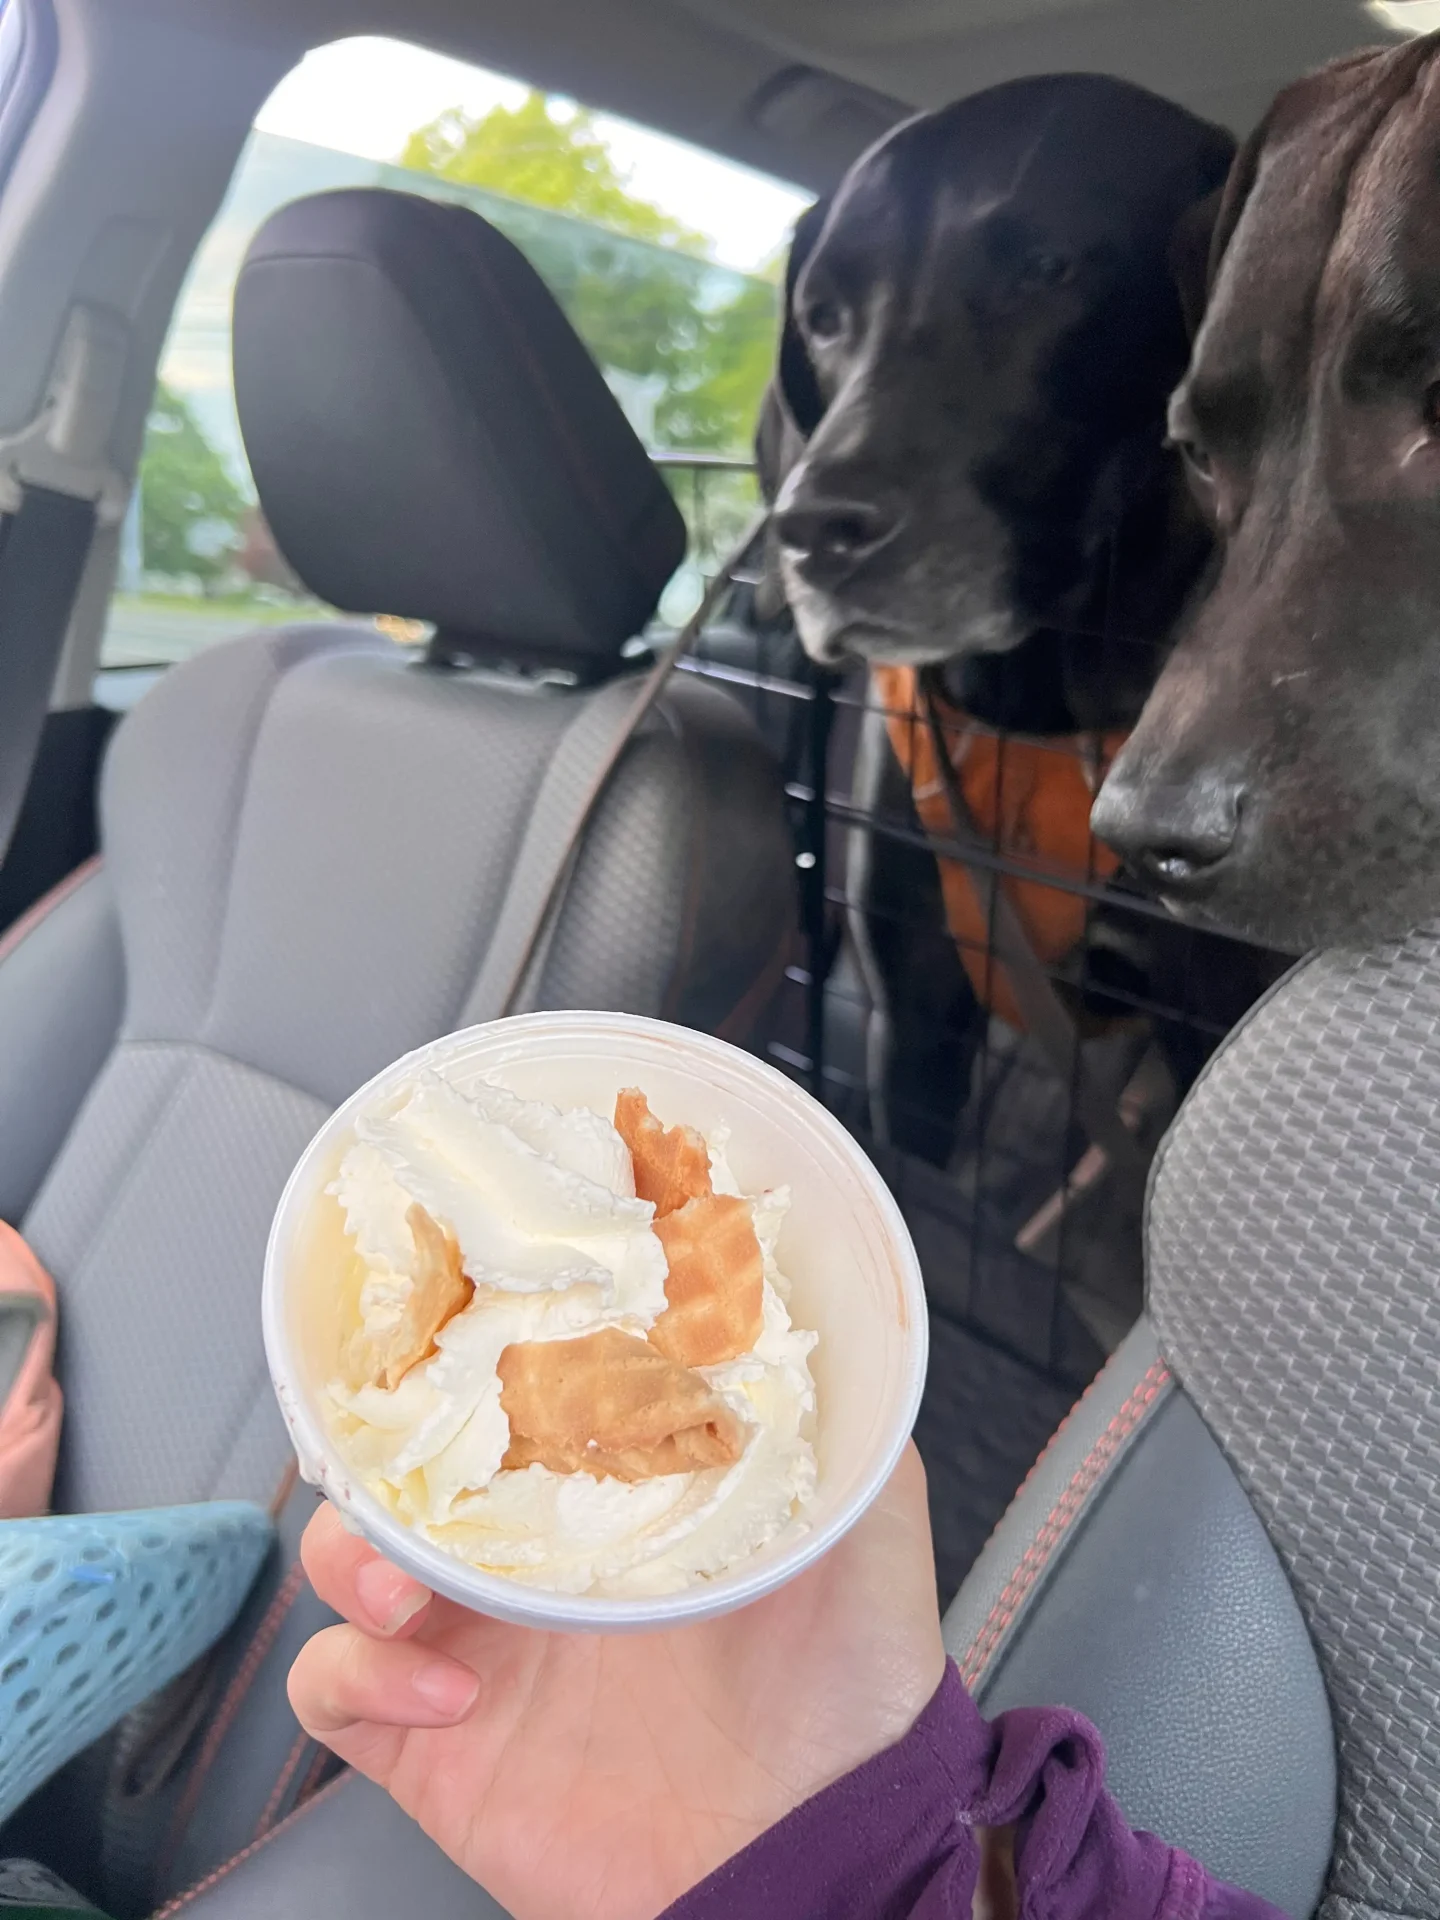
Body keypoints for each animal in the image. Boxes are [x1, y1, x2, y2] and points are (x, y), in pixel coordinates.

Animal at [756, 74, 1282, 1167]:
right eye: (823, 315)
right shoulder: (913, 1021)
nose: (812, 528)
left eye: (1047, 267)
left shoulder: (1208, 1034)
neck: (1041, 710)